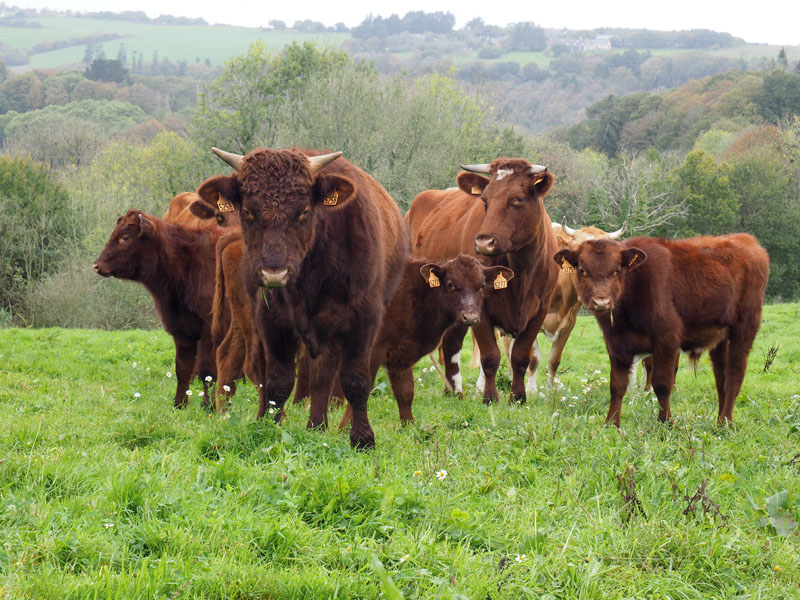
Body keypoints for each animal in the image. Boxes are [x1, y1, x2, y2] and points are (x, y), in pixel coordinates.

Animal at [92, 211, 228, 408]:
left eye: (125, 237)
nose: (96, 265)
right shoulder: (182, 330)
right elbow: (182, 369)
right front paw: (179, 404)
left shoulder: (210, 330)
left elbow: (208, 371)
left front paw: (208, 407)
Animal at [194, 144, 406, 446]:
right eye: (248, 212)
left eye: (304, 212)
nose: (274, 273)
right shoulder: (272, 322)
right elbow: (278, 381)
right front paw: (269, 427)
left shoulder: (364, 320)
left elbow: (355, 379)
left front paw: (363, 438)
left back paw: (317, 425)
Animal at [336, 253, 512, 426]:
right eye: (451, 284)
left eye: (481, 286)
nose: (470, 317)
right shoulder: (373, 350)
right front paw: (346, 426)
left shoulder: (401, 355)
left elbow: (406, 391)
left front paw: (409, 425)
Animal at [406, 159, 556, 404]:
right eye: (485, 200)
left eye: (518, 199)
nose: (484, 242)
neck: (522, 272)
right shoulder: (481, 310)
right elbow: (490, 356)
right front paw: (490, 397)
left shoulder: (539, 311)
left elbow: (521, 357)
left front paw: (518, 397)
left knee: (451, 344)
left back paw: (453, 390)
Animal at [556, 234, 768, 426]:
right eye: (582, 270)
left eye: (616, 270)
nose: (601, 301)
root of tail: (747, 240)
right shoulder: (615, 343)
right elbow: (617, 385)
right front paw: (612, 423)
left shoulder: (667, 337)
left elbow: (662, 384)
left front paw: (666, 422)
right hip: (720, 337)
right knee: (721, 378)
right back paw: (719, 421)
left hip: (745, 327)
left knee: (734, 375)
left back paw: (726, 422)